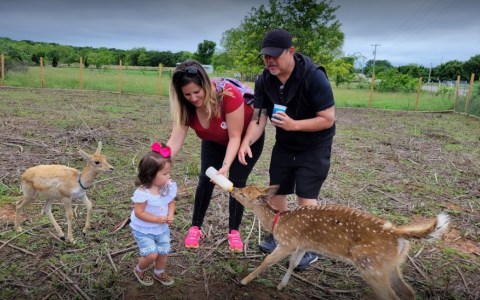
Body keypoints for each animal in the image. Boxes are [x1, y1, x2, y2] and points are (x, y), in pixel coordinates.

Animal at [232, 185, 450, 300]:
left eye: (243, 194)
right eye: (246, 186)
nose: (234, 189)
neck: (277, 221)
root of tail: (397, 234)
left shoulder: (288, 242)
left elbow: (268, 260)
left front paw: (245, 280)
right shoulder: (303, 244)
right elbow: (293, 264)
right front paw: (281, 286)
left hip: (371, 267)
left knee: (391, 296)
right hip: (391, 265)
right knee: (409, 292)